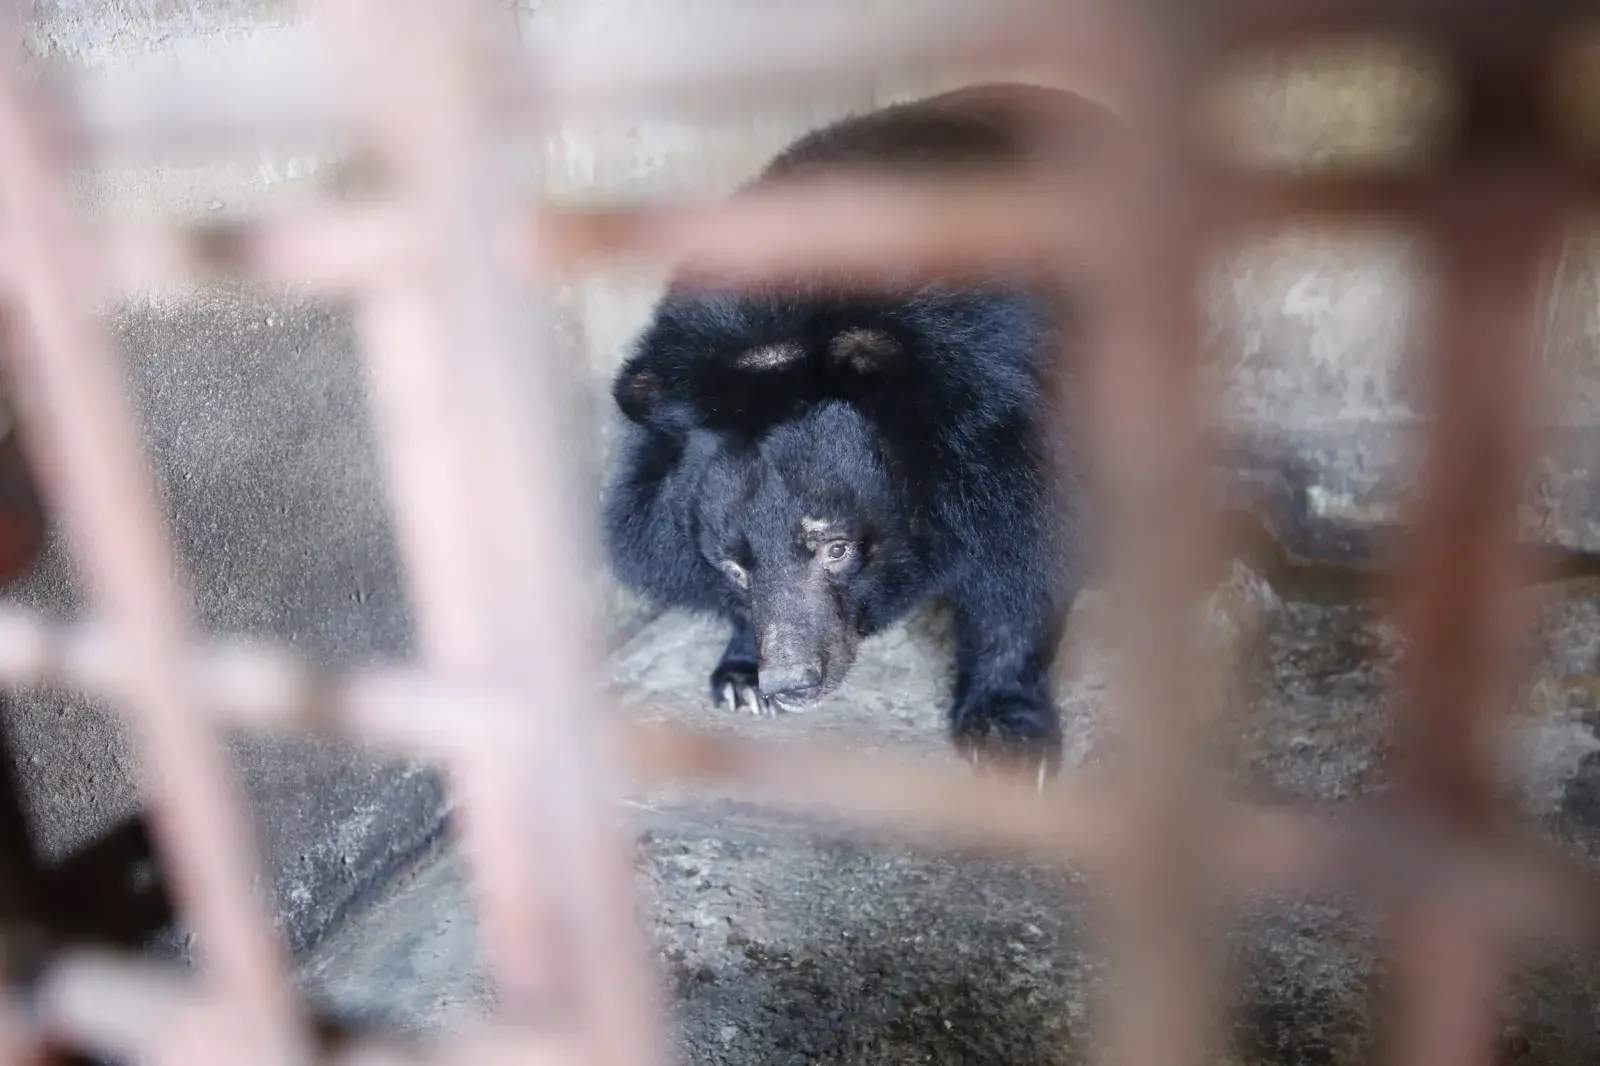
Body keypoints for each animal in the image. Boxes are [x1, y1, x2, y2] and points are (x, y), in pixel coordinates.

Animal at [600, 83, 1121, 781]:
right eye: (732, 564)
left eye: (836, 547)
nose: (792, 685)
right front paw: (740, 678)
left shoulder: (1010, 416)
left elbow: (1026, 560)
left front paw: (1007, 734)